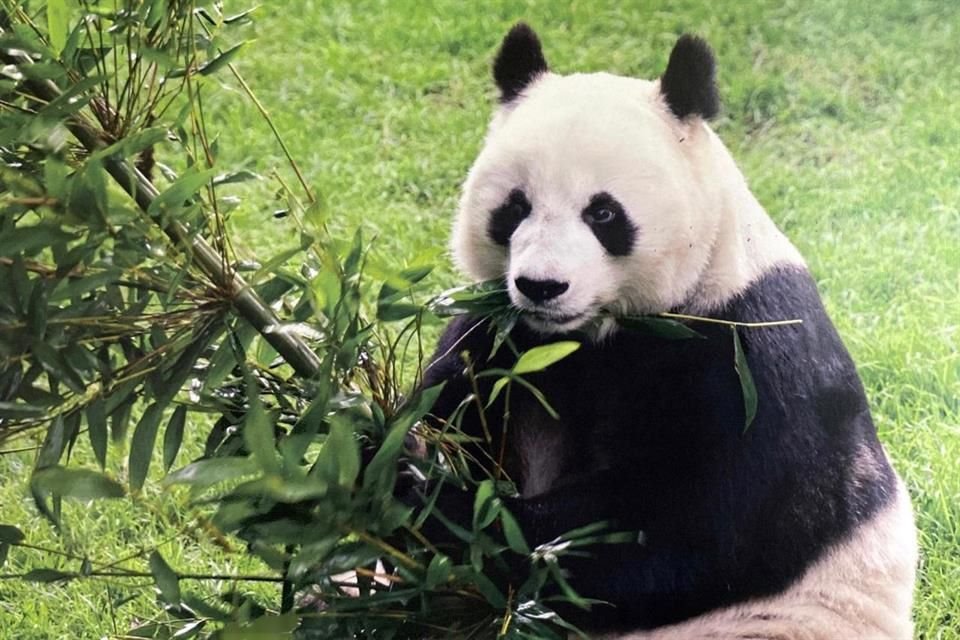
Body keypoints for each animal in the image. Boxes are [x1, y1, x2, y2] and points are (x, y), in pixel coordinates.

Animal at [418, 23, 917, 639]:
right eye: (514, 208)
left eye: (603, 213)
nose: (542, 286)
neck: (593, 334)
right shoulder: (504, 336)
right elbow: (452, 405)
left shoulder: (749, 356)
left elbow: (684, 535)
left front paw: (436, 497)